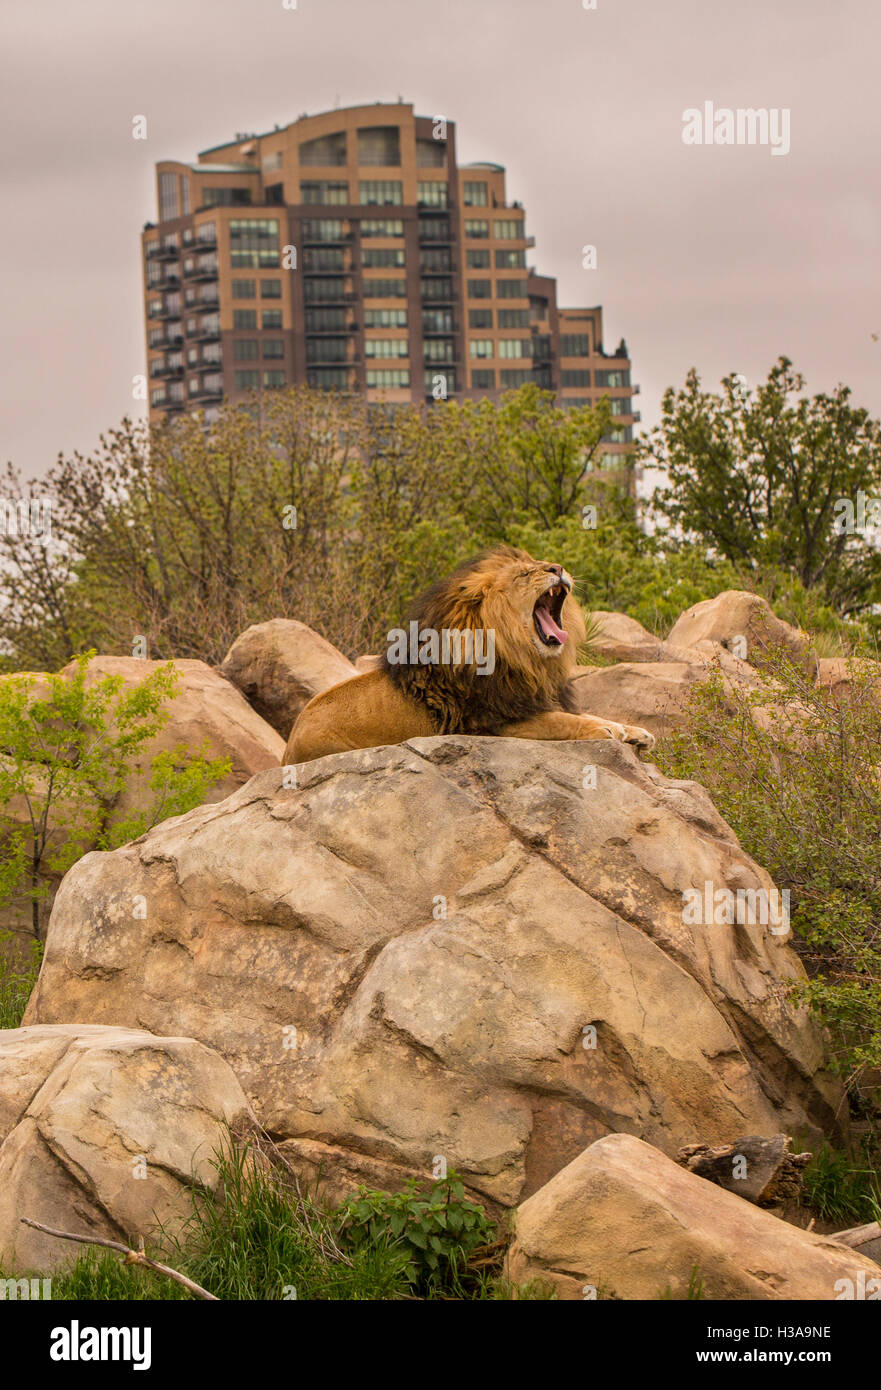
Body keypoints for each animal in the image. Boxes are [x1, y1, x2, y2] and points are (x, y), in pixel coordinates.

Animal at [280, 542, 653, 761]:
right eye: (525, 573)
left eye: (541, 564)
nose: (558, 568)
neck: (527, 660)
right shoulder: (493, 725)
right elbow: (562, 720)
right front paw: (606, 731)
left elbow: (586, 713)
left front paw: (634, 731)